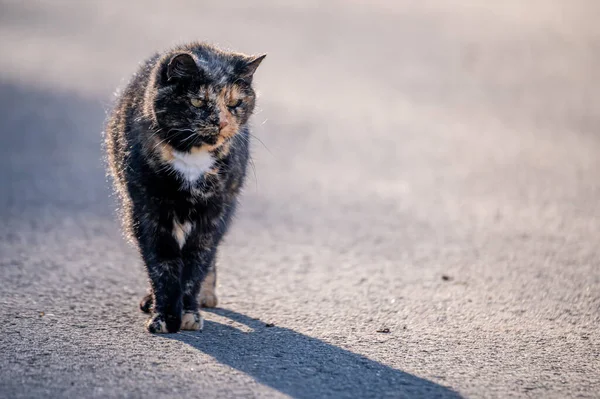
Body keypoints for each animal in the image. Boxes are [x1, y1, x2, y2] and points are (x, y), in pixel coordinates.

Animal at [105, 41, 264, 334]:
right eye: (198, 101)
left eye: (234, 103)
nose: (222, 122)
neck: (191, 157)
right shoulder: (147, 212)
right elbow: (162, 264)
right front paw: (164, 316)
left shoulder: (213, 214)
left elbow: (195, 265)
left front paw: (189, 313)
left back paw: (206, 296)